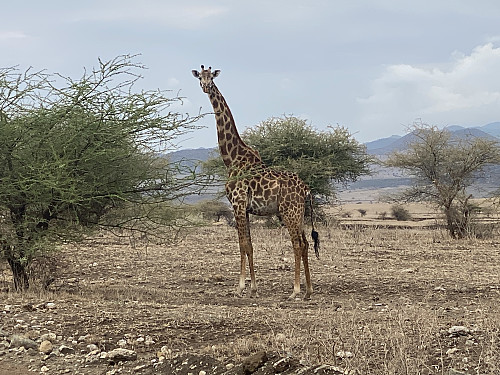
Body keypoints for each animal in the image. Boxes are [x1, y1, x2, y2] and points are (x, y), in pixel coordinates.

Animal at [191, 64, 320, 300]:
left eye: (211, 77)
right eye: (200, 78)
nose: (205, 86)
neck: (232, 159)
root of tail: (306, 189)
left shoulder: (238, 203)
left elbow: (244, 244)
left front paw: (243, 286)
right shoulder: (246, 208)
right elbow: (248, 244)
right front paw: (253, 286)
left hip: (289, 211)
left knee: (297, 244)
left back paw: (295, 290)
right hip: (298, 213)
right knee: (306, 243)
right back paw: (308, 290)